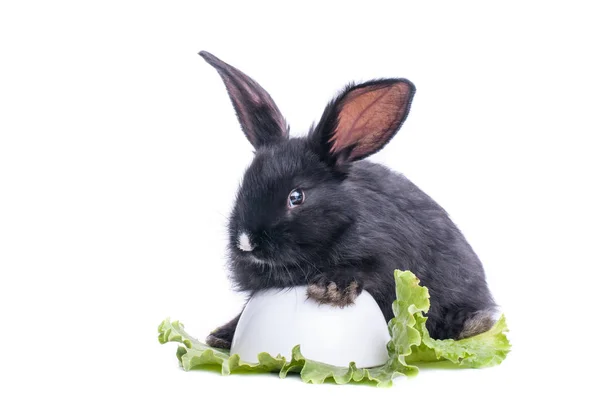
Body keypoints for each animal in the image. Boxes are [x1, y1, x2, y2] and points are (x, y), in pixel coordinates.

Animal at [199, 52, 494, 348]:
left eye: (296, 197)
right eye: (243, 185)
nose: (246, 242)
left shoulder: (387, 257)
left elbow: (365, 271)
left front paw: (330, 289)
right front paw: (221, 335)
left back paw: (471, 324)